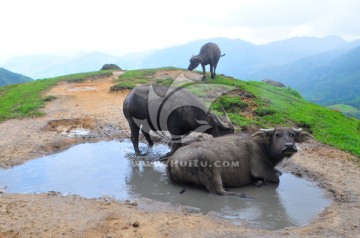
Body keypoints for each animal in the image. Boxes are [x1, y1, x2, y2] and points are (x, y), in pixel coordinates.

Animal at [167, 128, 314, 197]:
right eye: (277, 134)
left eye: (292, 135)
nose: (289, 146)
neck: (263, 147)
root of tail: (172, 160)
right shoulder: (261, 170)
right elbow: (276, 179)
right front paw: (258, 182)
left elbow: (279, 174)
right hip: (210, 164)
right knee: (219, 192)